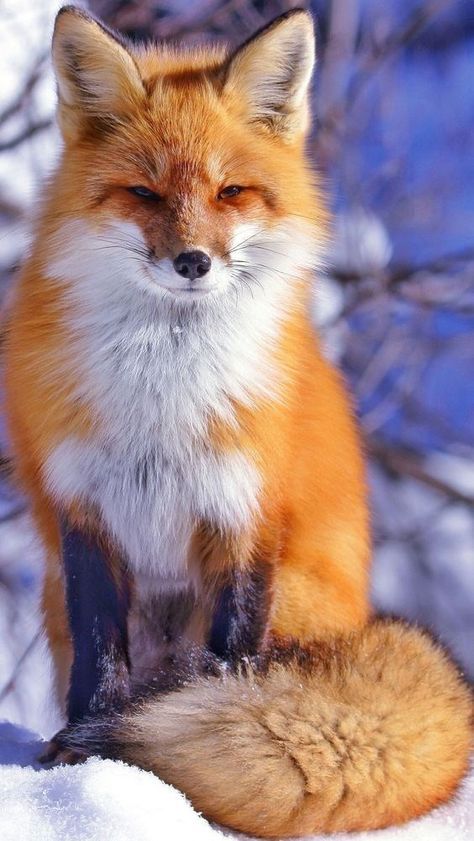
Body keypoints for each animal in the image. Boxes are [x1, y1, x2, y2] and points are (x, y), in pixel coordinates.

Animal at [2, 4, 470, 832]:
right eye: (144, 192)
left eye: (231, 192)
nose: (193, 261)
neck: (164, 393)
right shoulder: (83, 511)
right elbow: (99, 657)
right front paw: (80, 763)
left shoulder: (244, 510)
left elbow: (226, 667)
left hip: (297, 599)